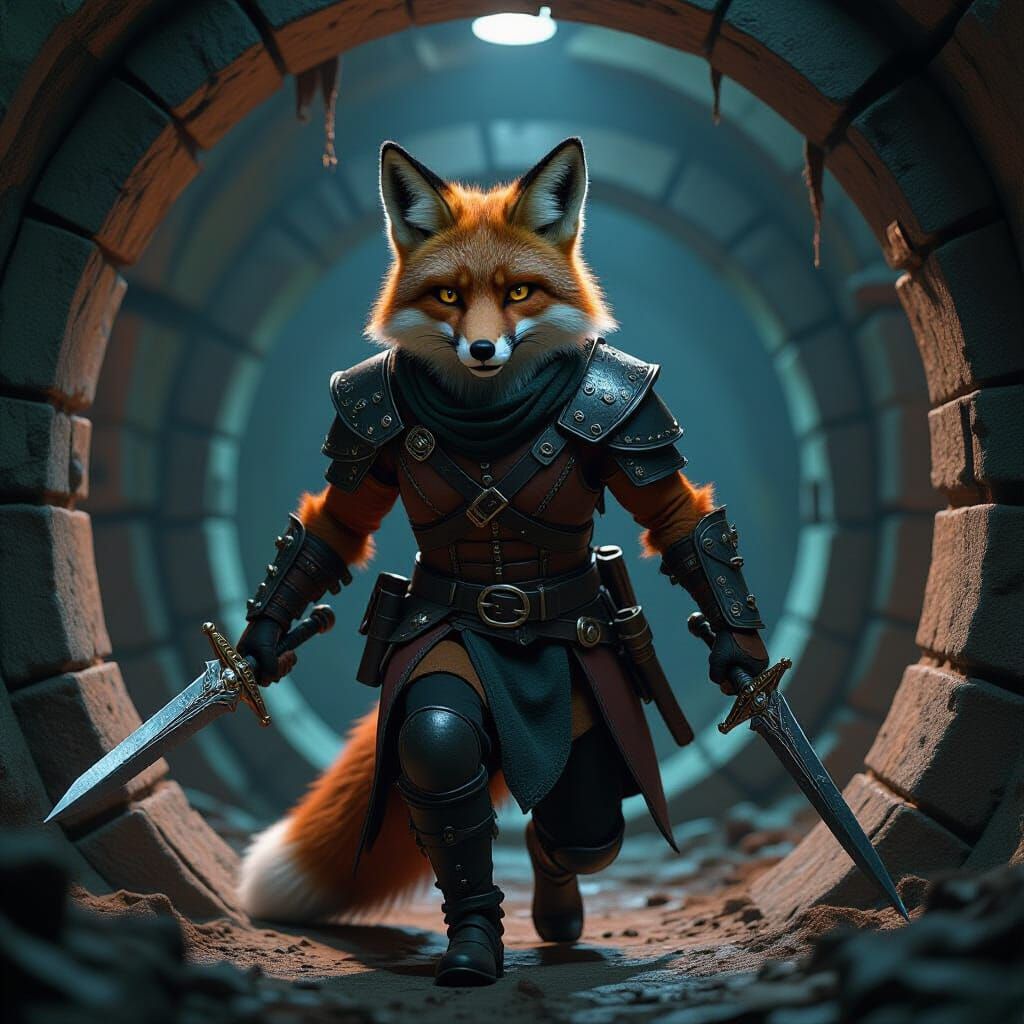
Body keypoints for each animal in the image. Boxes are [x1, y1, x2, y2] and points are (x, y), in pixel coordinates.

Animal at [236, 137, 769, 985]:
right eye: (449, 297)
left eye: (519, 291)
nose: (483, 349)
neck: (488, 413)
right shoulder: (363, 421)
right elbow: (333, 533)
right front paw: (253, 651)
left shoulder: (632, 419)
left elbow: (683, 527)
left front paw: (743, 663)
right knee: (473, 773)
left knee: (579, 826)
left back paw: (558, 907)